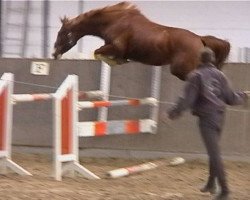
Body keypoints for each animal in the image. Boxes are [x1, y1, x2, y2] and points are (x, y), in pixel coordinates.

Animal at [52, 1, 230, 80]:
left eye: (62, 33)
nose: (54, 54)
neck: (114, 21)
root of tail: (200, 39)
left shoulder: (115, 46)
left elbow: (97, 53)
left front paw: (117, 62)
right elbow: (99, 54)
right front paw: (120, 62)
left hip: (181, 69)